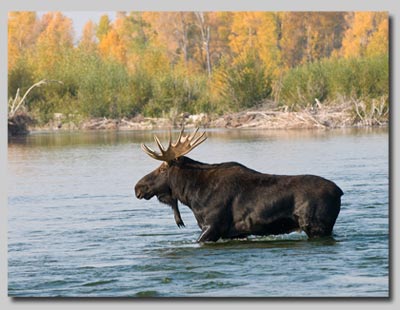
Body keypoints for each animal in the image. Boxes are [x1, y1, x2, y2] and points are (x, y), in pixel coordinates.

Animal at [136, 128, 342, 242]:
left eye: (162, 168)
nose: (138, 187)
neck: (192, 195)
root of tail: (339, 192)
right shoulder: (237, 233)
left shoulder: (213, 226)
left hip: (317, 227)